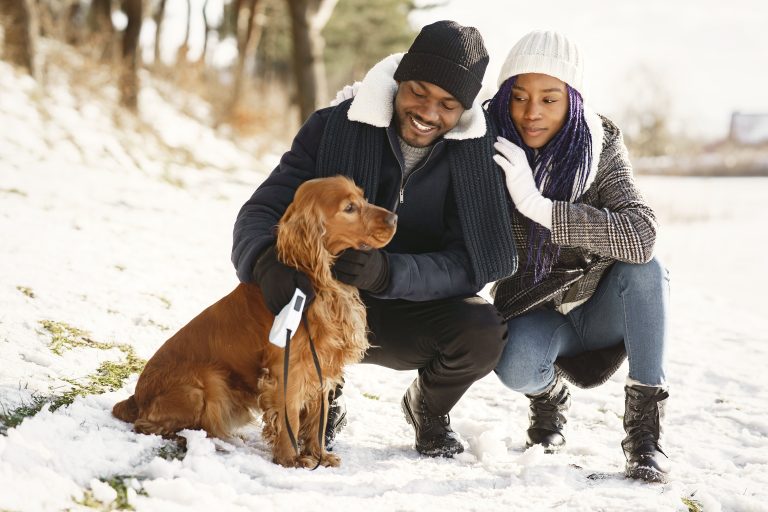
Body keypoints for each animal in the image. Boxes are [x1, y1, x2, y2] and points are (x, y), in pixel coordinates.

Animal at [115, 176, 402, 468]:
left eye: (363, 198)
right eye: (349, 208)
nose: (395, 218)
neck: (316, 280)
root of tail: (135, 398)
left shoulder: (321, 364)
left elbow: (318, 422)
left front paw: (320, 456)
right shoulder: (287, 369)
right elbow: (290, 418)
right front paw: (291, 460)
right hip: (208, 382)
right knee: (150, 426)